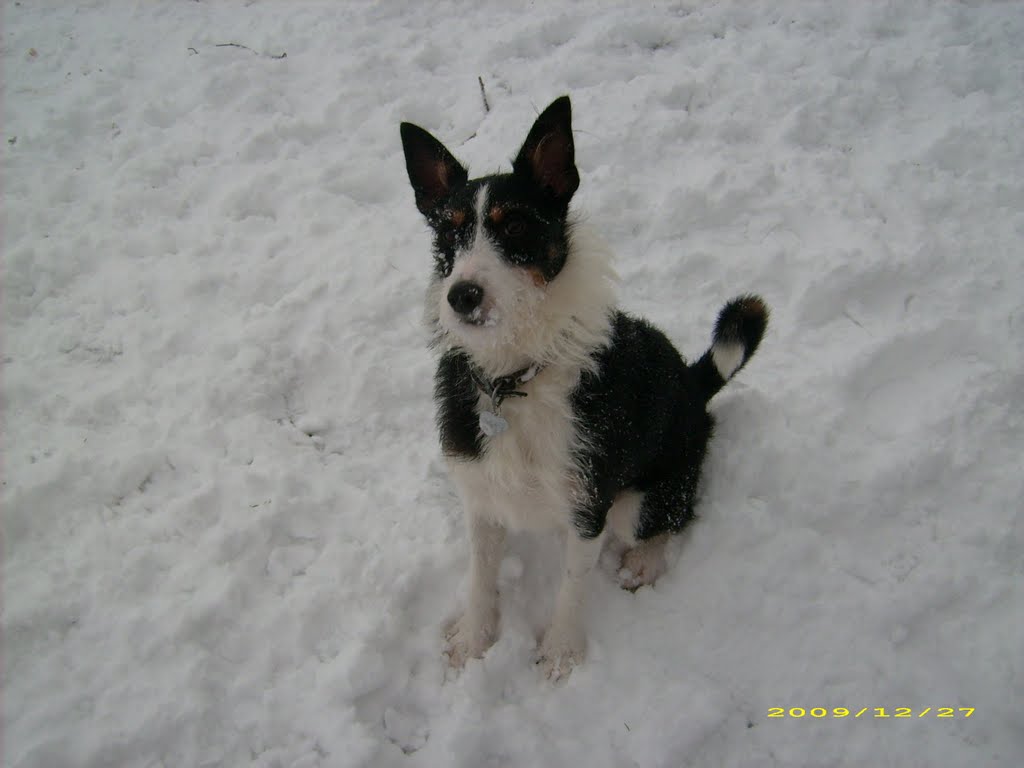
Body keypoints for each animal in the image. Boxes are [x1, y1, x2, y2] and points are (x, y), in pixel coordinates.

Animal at [399, 97, 770, 684]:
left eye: (517, 226)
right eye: (447, 234)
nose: (462, 295)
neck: (518, 375)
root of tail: (693, 386)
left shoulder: (589, 501)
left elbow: (572, 588)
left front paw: (560, 655)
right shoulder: (481, 492)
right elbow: (480, 574)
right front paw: (473, 640)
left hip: (642, 499)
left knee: (673, 518)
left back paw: (644, 562)